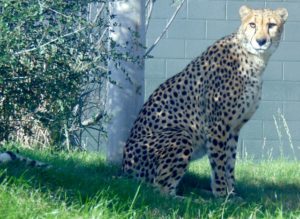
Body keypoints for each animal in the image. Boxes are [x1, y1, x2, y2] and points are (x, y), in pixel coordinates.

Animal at [122, 5, 288, 197]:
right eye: (252, 24)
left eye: (271, 25)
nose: (261, 41)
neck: (255, 59)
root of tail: (124, 169)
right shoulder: (218, 125)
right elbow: (219, 162)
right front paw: (222, 194)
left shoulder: (234, 127)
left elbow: (230, 162)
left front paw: (232, 193)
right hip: (181, 135)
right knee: (160, 190)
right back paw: (194, 199)